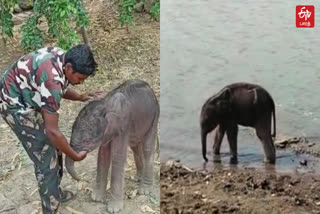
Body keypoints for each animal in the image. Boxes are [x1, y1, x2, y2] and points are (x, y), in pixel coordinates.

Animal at [65, 79, 160, 213]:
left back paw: (145, 190)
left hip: (154, 116)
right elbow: (102, 156)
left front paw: (113, 209)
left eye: (87, 141)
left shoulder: (123, 125)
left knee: (147, 147)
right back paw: (138, 178)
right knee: (135, 146)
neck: (105, 104)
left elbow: (117, 157)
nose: (83, 180)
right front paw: (97, 198)